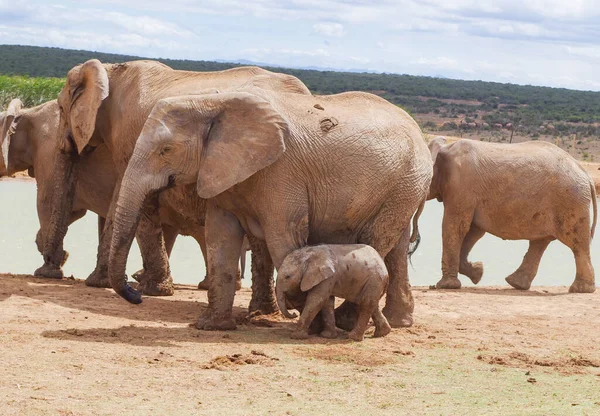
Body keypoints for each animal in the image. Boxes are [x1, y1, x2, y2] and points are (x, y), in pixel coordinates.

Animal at [108, 85, 432, 332]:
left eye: (166, 150)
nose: (136, 294)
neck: (212, 101)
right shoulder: (221, 170)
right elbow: (220, 240)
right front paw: (211, 326)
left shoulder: (282, 172)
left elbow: (282, 239)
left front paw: (310, 324)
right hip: (403, 187)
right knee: (395, 249)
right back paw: (396, 323)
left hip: (404, 182)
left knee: (377, 241)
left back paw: (348, 322)